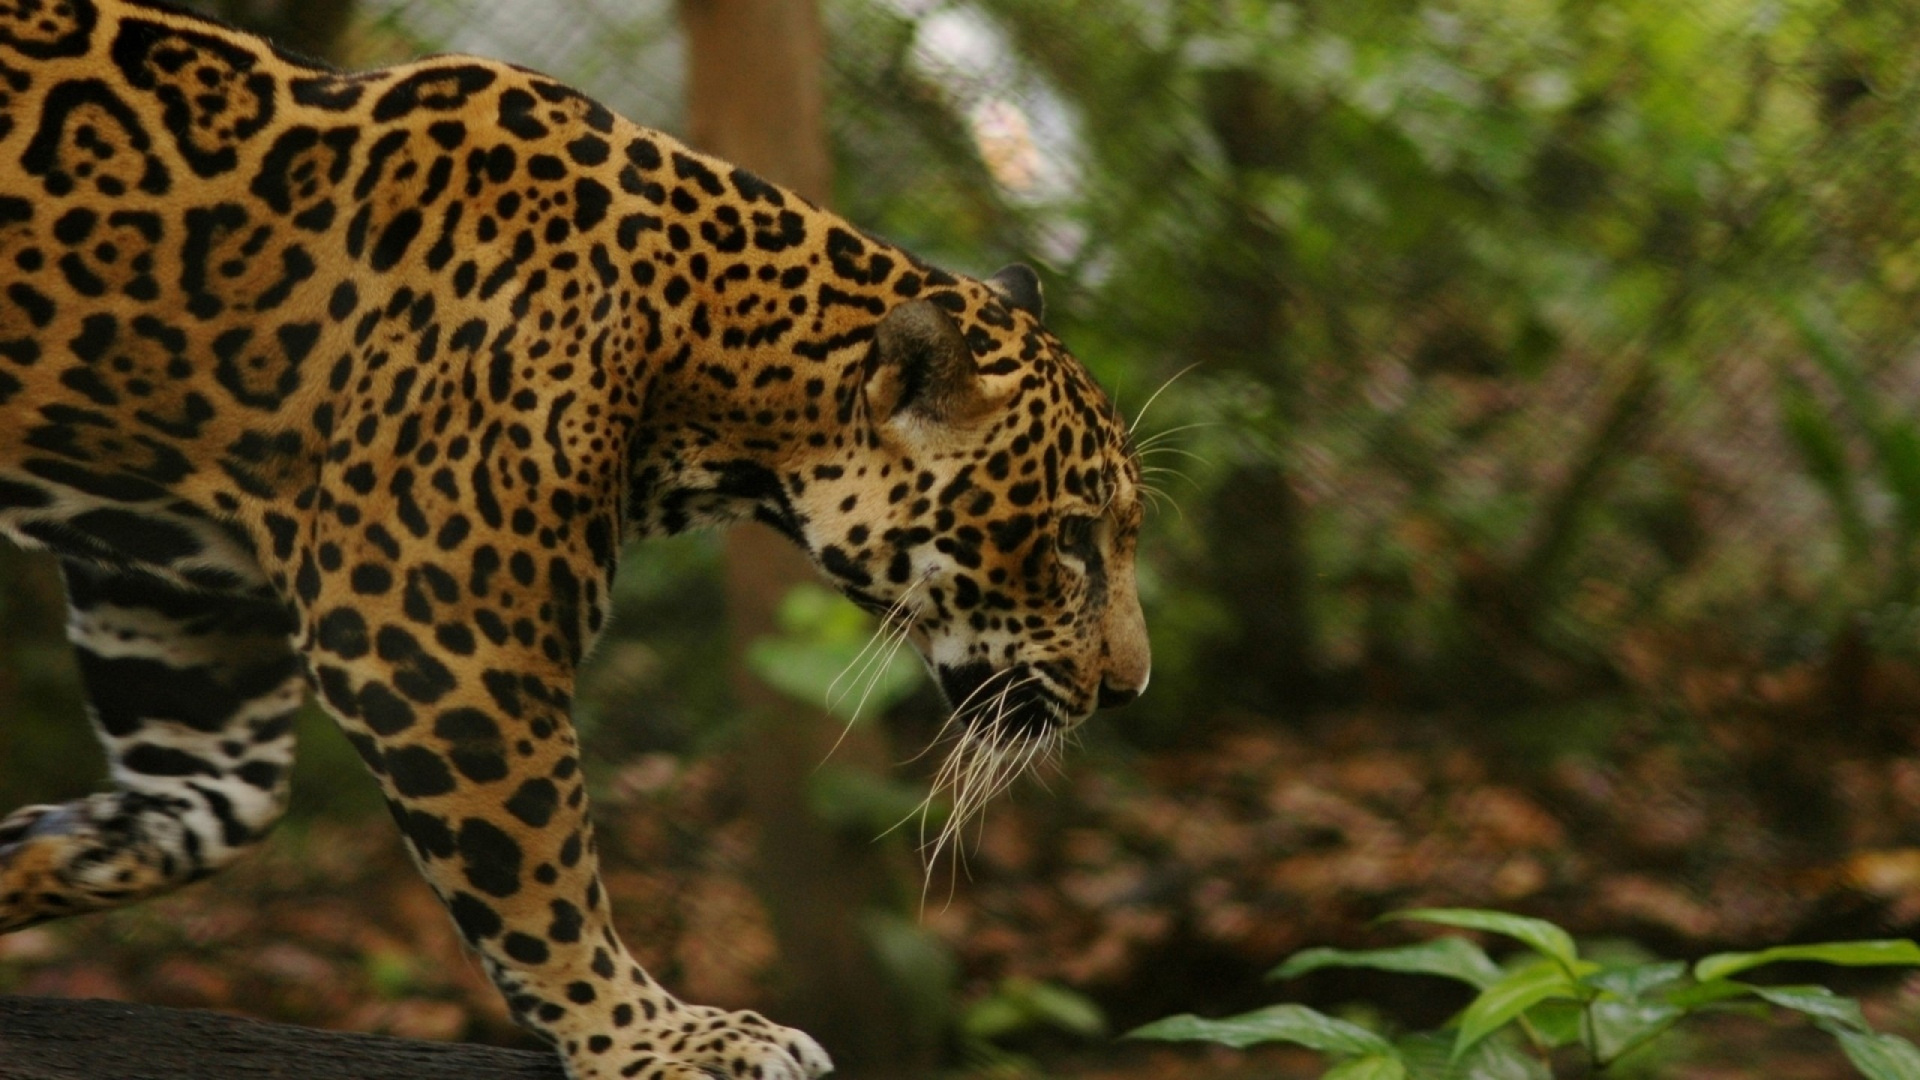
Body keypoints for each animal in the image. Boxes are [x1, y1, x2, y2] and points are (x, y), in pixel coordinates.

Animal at [0, 0, 1151, 1076]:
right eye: (1073, 538)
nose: (1127, 689)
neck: (704, 353)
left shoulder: (179, 606)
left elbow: (208, 808)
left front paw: (39, 853)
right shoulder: (435, 648)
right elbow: (539, 883)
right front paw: (659, 1038)